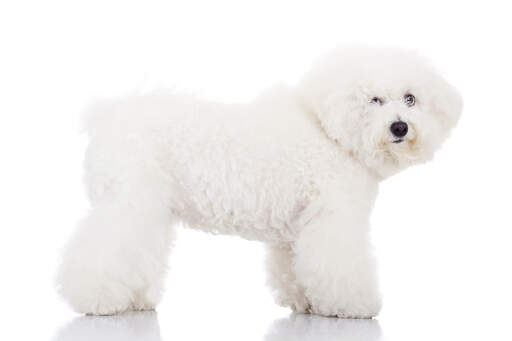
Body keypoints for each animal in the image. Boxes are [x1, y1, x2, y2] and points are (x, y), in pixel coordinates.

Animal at [57, 45, 464, 316]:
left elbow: (293, 269)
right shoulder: (332, 220)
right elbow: (341, 267)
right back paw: (96, 299)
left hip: (146, 208)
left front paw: (303, 303)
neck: (330, 132)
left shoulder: (297, 229)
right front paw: (355, 305)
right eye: (374, 99)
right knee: (102, 251)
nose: (400, 127)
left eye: (410, 98)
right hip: (128, 202)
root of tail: (108, 117)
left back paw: (135, 300)